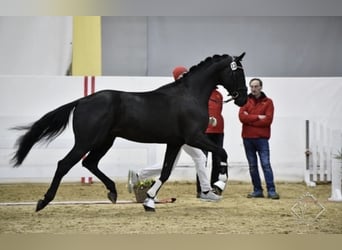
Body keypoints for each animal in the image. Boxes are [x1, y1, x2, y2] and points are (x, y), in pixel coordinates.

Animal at [12, 52, 247, 211]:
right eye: (238, 72)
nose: (243, 99)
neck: (190, 95)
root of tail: (82, 101)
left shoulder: (175, 142)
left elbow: (165, 172)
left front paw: (149, 202)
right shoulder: (194, 137)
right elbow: (222, 152)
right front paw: (219, 185)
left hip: (105, 141)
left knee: (90, 163)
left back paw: (113, 192)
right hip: (86, 142)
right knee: (65, 164)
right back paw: (43, 201)